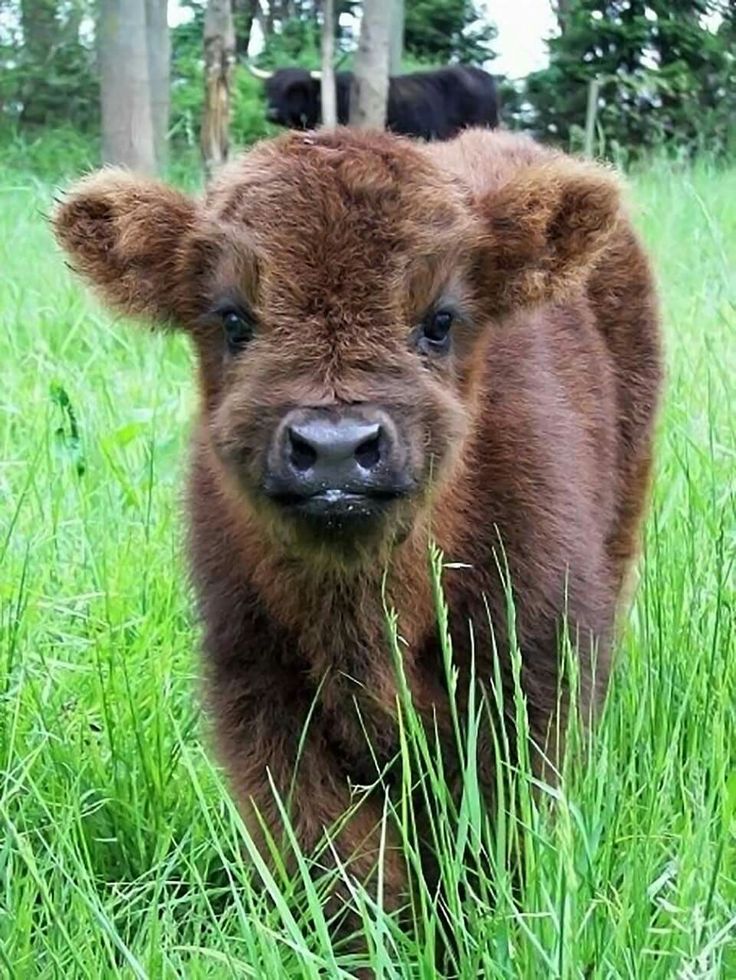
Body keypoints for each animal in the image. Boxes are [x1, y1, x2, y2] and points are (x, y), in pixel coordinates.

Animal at [53, 128, 660, 912]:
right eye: (233, 319)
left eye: (439, 320)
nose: (336, 449)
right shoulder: (262, 690)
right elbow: (339, 861)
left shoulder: (530, 672)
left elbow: (494, 841)